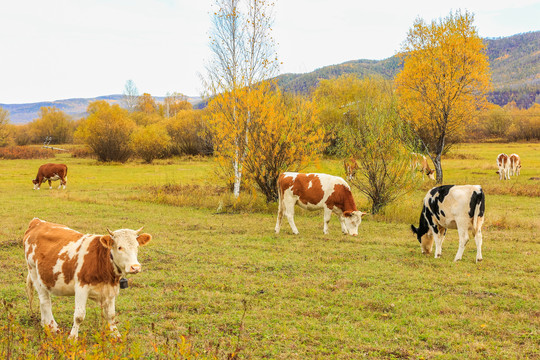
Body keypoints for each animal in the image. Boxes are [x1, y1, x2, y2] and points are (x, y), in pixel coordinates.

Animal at [23, 218, 152, 338]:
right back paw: (53, 327)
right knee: (45, 301)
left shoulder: (111, 289)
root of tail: (37, 221)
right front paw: (72, 338)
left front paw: (117, 336)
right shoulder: (81, 287)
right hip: (34, 272)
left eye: (137, 247)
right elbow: (79, 316)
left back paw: (46, 325)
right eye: (120, 247)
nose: (135, 267)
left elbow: (111, 315)